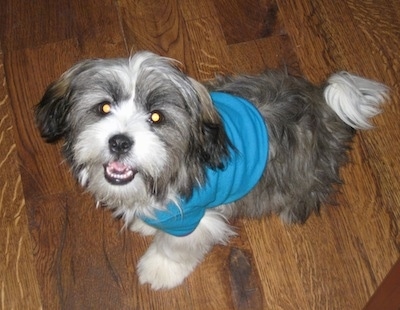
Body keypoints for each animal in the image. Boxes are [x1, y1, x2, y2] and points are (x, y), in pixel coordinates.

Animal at [34, 49, 388, 290]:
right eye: (104, 107)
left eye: (157, 117)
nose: (120, 141)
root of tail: (322, 102)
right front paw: (145, 222)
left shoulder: (196, 215)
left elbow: (175, 246)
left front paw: (159, 269)